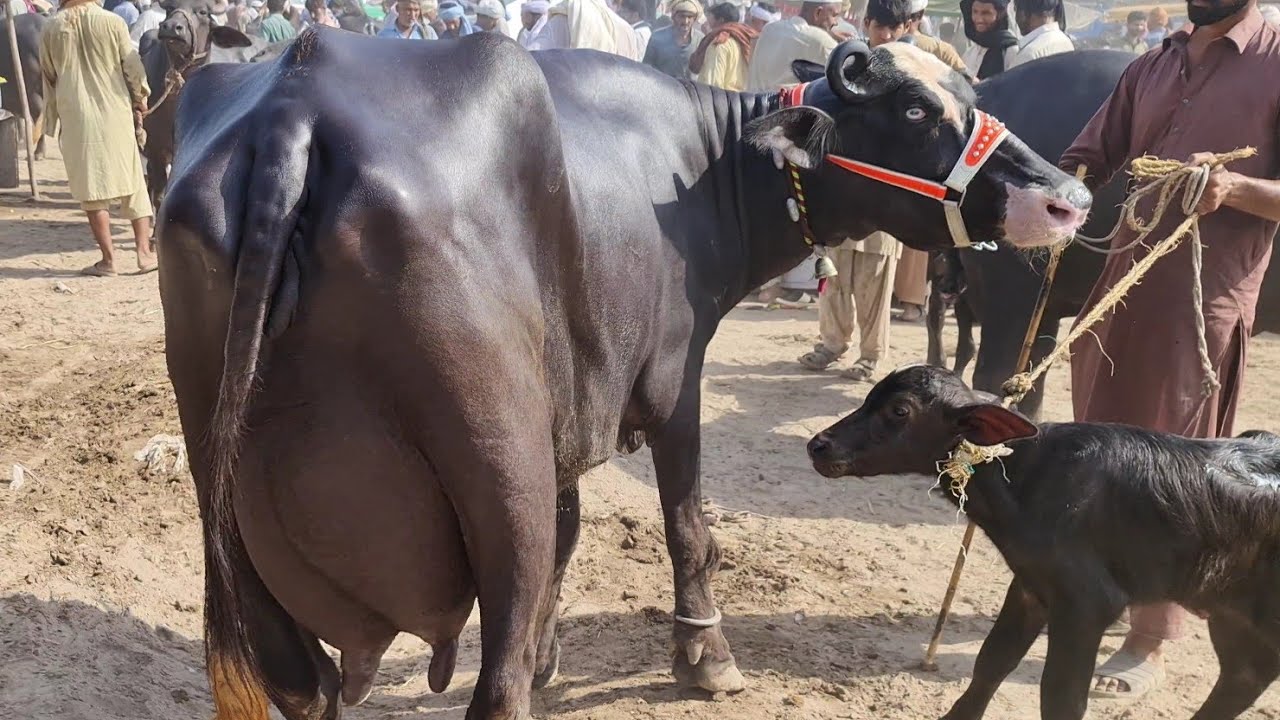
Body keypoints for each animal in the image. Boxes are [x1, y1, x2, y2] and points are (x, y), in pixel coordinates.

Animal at [157, 29, 1089, 719]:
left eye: (967, 93)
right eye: (914, 107)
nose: (1067, 198)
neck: (699, 171)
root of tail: (296, 113)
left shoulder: (569, 411)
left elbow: (573, 536)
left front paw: (552, 655)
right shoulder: (676, 384)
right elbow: (687, 527)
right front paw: (705, 654)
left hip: (223, 488)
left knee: (298, 681)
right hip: (499, 462)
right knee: (493, 681)